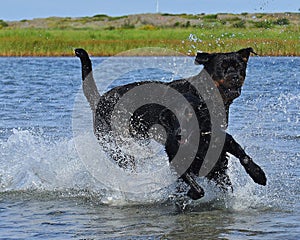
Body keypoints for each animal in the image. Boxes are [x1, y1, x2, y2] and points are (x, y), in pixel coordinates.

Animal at [75, 47, 268, 200]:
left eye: (240, 67)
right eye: (222, 68)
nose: (235, 76)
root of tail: (100, 100)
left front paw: (257, 174)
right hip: (118, 147)